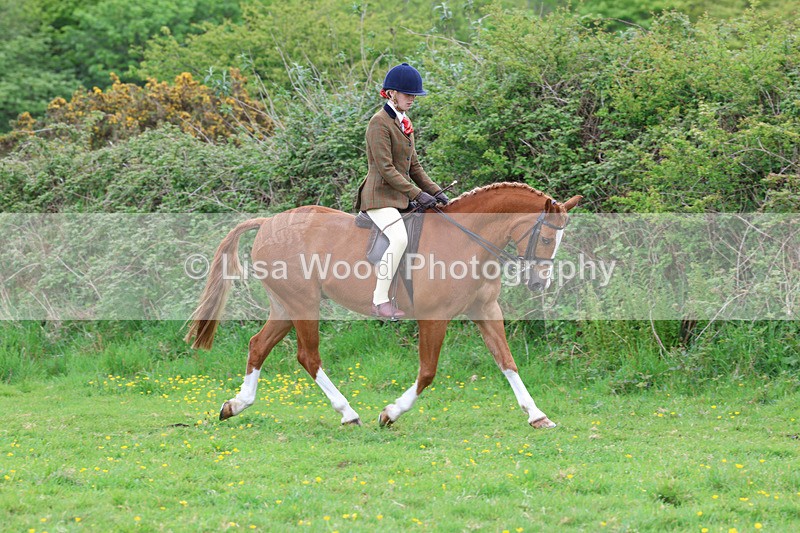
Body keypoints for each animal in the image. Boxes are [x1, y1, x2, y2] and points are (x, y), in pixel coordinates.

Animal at [184, 182, 581, 428]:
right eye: (548, 238)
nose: (539, 283)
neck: (468, 240)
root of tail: (268, 222)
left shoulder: (485, 311)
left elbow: (507, 361)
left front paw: (537, 415)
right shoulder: (434, 317)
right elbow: (428, 372)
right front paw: (391, 413)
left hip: (285, 305)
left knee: (258, 345)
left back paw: (235, 405)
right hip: (303, 302)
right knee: (307, 356)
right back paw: (347, 413)